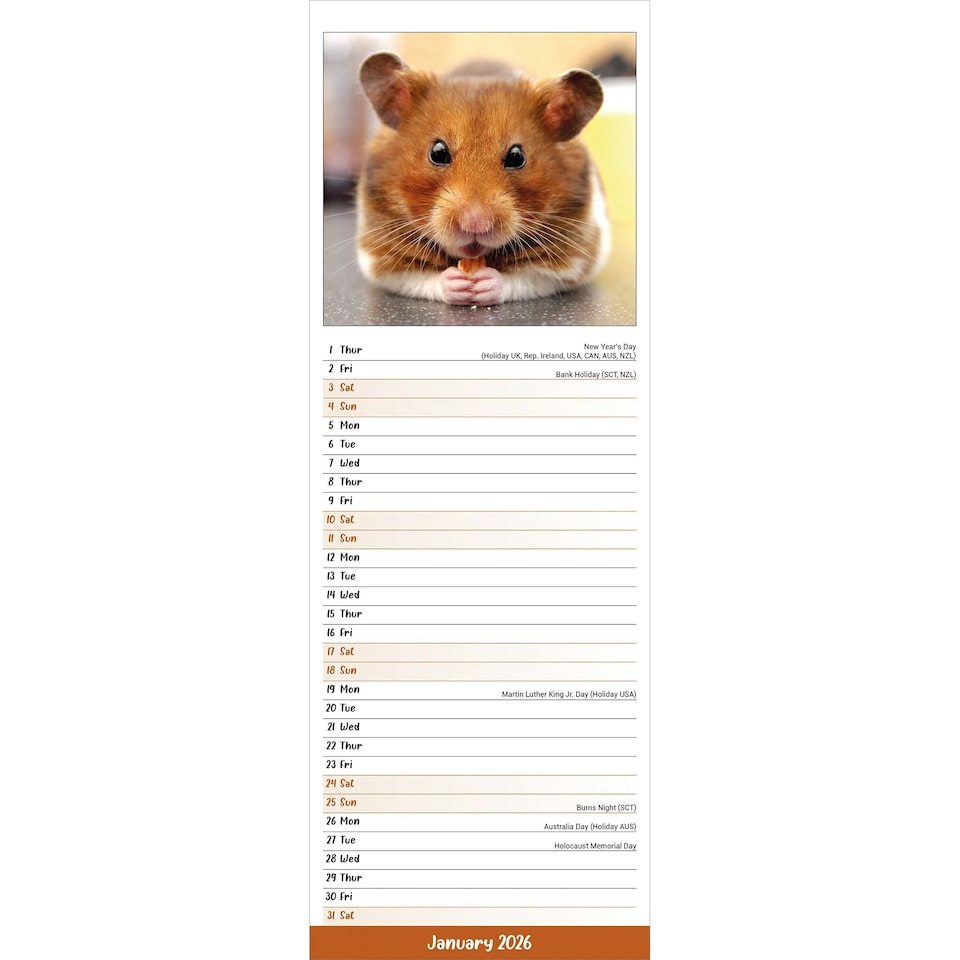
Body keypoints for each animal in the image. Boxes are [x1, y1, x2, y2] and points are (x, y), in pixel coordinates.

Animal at [356, 51, 610, 305]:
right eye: (437, 152)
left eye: (517, 157)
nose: (475, 224)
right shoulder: (379, 257)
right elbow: (419, 278)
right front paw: (457, 283)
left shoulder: (572, 260)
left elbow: (524, 278)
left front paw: (483, 283)